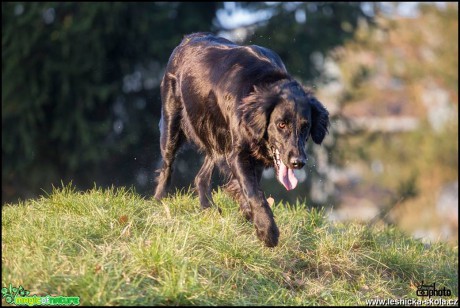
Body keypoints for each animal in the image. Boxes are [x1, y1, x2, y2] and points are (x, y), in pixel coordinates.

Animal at [155, 32, 330, 247]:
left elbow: (249, 188)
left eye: (305, 127)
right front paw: (267, 230)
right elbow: (254, 192)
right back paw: (159, 201)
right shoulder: (238, 153)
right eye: (281, 124)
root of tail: (187, 38)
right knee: (167, 167)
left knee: (201, 176)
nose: (298, 162)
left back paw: (208, 207)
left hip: (215, 137)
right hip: (172, 122)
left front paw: (249, 213)